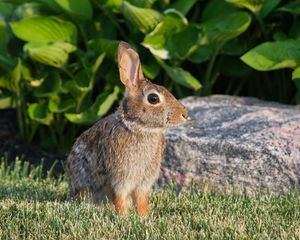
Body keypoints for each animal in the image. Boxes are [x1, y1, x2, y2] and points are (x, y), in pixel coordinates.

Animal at [66, 41, 188, 216]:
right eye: (153, 98)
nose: (185, 114)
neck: (138, 127)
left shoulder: (144, 180)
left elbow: (141, 198)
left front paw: (144, 216)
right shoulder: (121, 177)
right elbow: (120, 197)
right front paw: (123, 216)